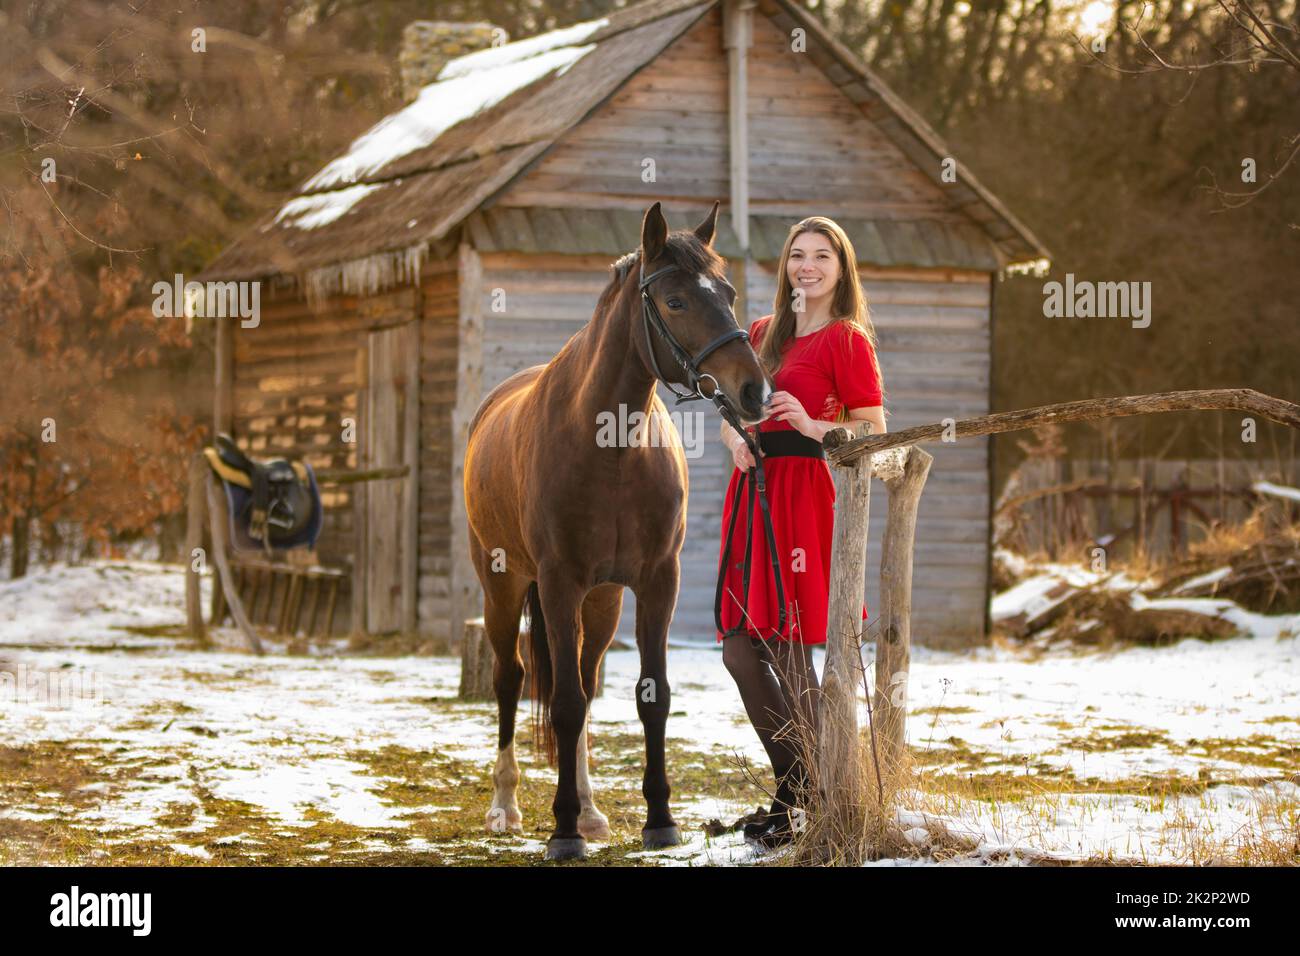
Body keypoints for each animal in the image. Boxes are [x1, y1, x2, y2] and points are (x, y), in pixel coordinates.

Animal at [467, 201, 769, 858]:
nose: (754, 390)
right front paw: (561, 831)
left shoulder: (657, 582)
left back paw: (590, 810)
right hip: (503, 587)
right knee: (512, 680)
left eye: (729, 293)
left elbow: (649, 696)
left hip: (601, 602)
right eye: (675, 301)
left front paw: (659, 819)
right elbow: (562, 704)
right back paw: (505, 806)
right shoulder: (557, 584)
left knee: (582, 677)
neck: (611, 448)